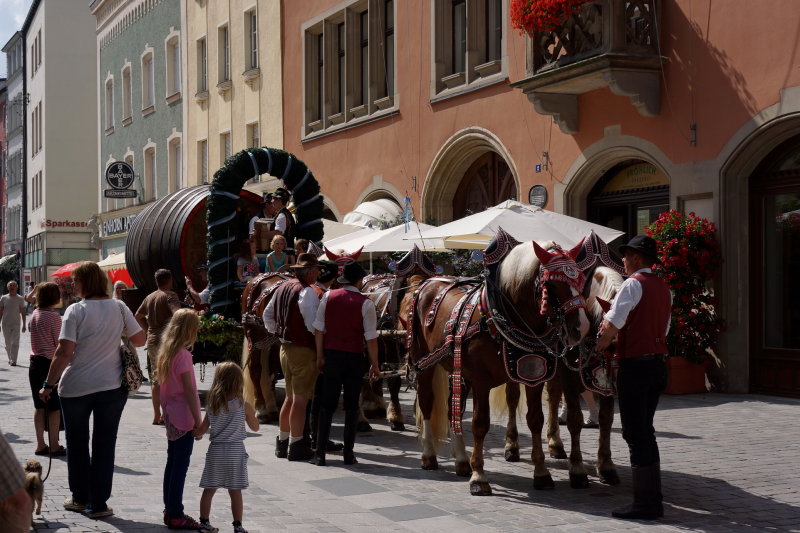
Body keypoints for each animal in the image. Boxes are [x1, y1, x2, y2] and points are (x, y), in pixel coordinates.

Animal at [404, 241, 592, 494]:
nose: (581, 327)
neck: (501, 318)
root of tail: (427, 283)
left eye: (580, 280)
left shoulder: (534, 377)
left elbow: (535, 420)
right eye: (551, 284)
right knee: (426, 403)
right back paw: (429, 456)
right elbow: (480, 423)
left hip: (457, 370)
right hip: (424, 363)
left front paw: (541, 473)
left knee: (452, 408)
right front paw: (479, 477)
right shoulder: (481, 382)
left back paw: (461, 460)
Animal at [500, 262, 624, 486]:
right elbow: (575, 419)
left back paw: (555, 443)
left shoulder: (602, 382)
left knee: (553, 398)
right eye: (613, 340)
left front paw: (606, 466)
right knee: (512, 399)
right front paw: (577, 469)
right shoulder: (571, 379)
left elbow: (607, 419)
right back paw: (512, 446)